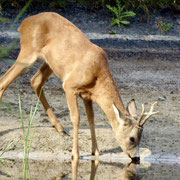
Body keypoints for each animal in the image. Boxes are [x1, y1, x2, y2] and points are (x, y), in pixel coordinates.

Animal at [0, 13, 158, 162]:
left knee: (35, 80)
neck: (97, 74)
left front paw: (96, 151)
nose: (136, 157)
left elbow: (91, 118)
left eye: (141, 137)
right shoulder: (69, 86)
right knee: (4, 81)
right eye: (132, 138)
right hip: (28, 52)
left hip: (50, 62)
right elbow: (76, 117)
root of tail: (24, 22)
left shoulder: (87, 95)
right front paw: (75, 155)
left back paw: (60, 128)